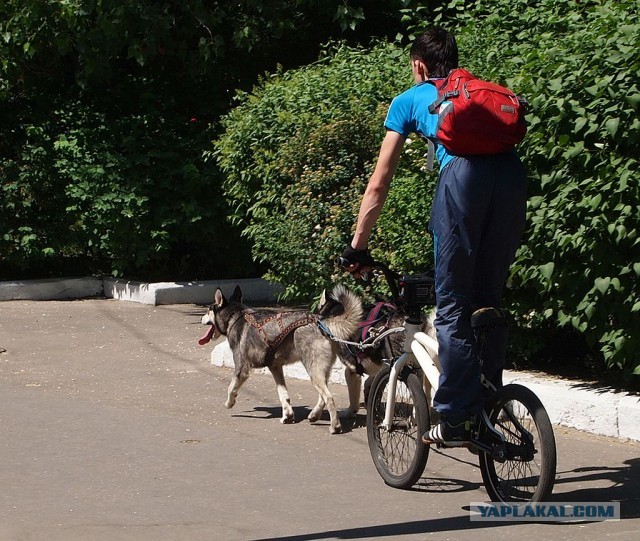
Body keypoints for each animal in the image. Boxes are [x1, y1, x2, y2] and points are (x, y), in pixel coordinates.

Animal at [198, 284, 362, 432]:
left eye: (208, 310)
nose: (201, 318)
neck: (236, 316)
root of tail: (321, 321)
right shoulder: (275, 368)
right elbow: (283, 394)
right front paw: (287, 415)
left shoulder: (241, 369)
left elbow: (230, 388)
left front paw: (229, 403)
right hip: (321, 370)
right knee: (323, 396)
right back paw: (314, 415)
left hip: (313, 370)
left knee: (329, 397)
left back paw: (335, 426)